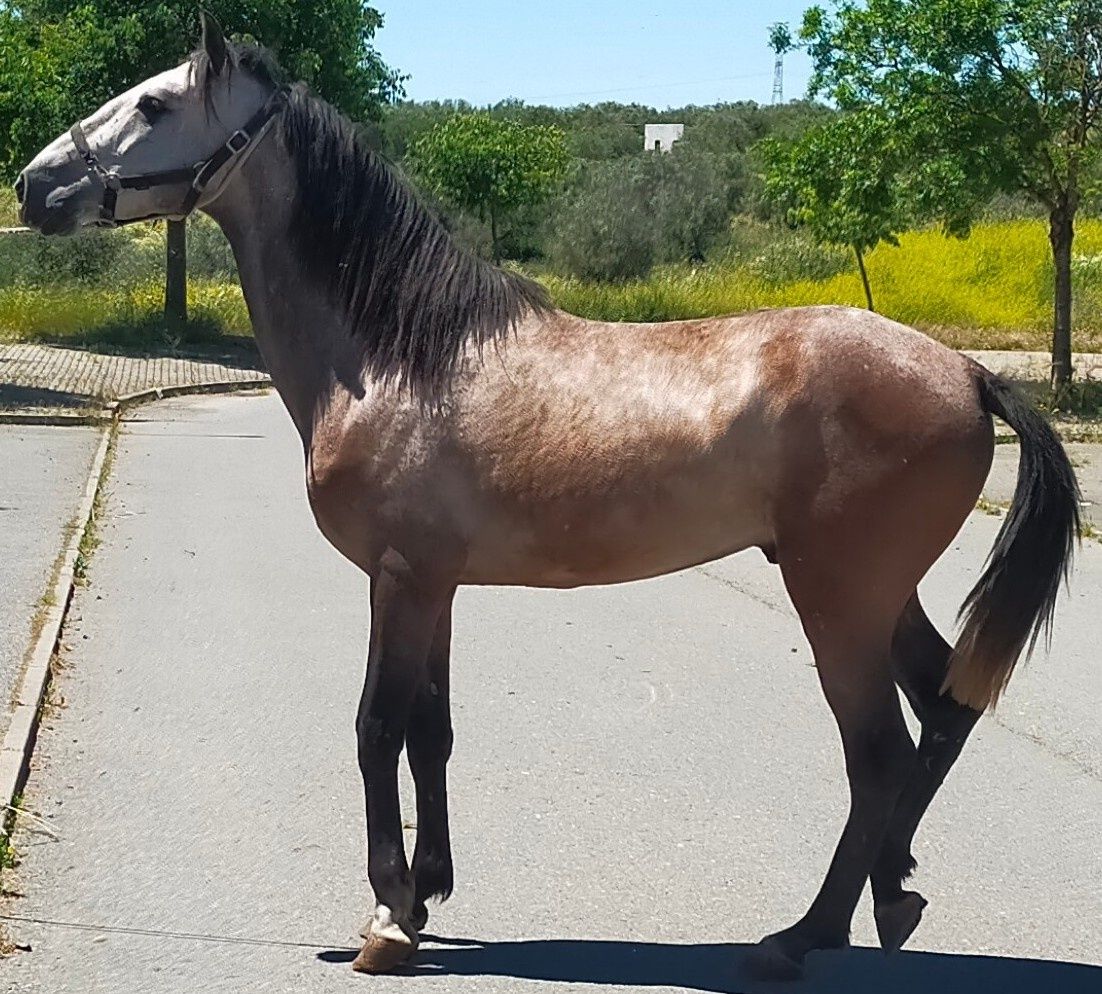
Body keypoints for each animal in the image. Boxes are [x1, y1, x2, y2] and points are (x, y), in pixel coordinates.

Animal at [17, 13, 1079, 978]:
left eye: (154, 106)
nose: (34, 185)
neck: (398, 357)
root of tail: (966, 371)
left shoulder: (400, 579)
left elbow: (374, 728)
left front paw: (388, 917)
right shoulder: (435, 587)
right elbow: (431, 732)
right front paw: (428, 889)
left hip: (837, 599)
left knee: (880, 753)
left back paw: (803, 935)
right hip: (875, 595)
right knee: (944, 708)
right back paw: (893, 894)